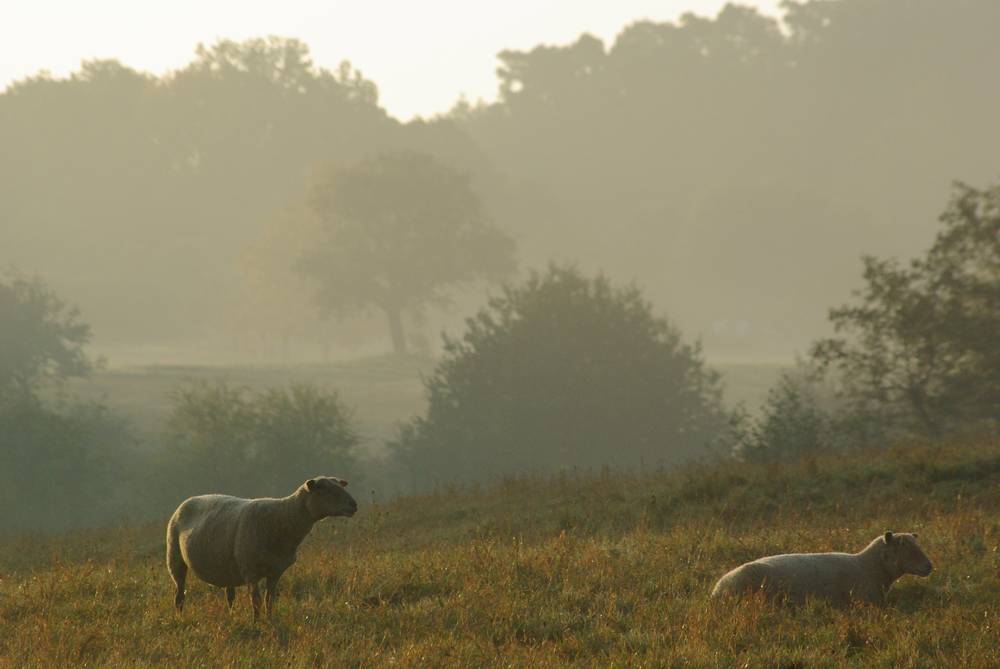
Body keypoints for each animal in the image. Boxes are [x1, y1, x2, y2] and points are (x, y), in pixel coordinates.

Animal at [162, 478, 354, 620]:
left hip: (227, 566)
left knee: (229, 596)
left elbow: (270, 600)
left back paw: (231, 617)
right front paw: (256, 623)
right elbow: (256, 601)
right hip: (174, 558)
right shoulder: (250, 571)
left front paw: (269, 620)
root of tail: (187, 501)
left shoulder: (276, 571)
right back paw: (180, 617)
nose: (354, 505)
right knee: (179, 595)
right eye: (325, 490)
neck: (285, 518)